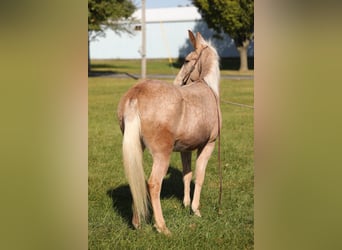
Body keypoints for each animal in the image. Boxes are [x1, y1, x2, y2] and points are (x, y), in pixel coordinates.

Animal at [116, 30, 220, 235]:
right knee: (153, 184)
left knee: (137, 180)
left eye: (187, 60)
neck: (207, 87)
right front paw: (196, 210)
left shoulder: (186, 149)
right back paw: (162, 227)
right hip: (162, 154)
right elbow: (200, 176)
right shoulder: (208, 145)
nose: (178, 82)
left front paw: (186, 204)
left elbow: (187, 175)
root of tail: (136, 93)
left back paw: (137, 223)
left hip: (137, 147)